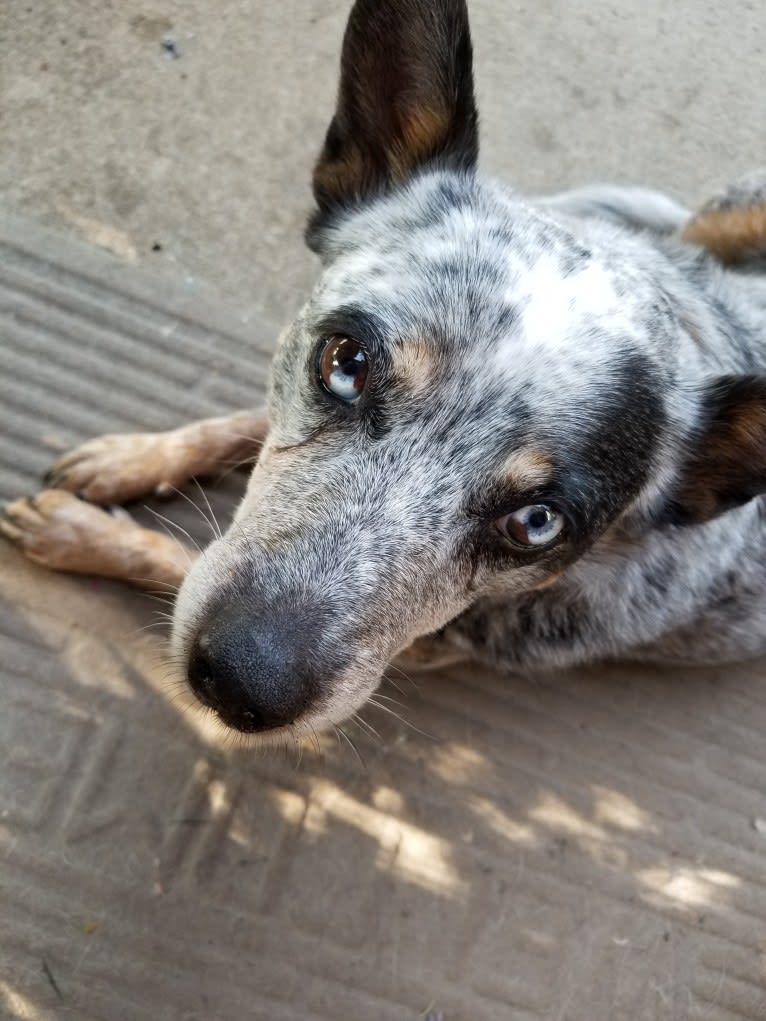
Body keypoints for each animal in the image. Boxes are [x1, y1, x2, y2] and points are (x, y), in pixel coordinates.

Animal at [1, 0, 766, 751]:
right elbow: (241, 424)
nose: (245, 683)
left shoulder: (422, 649)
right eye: (345, 363)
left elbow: (177, 558)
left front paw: (82, 535)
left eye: (537, 522)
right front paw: (130, 459)